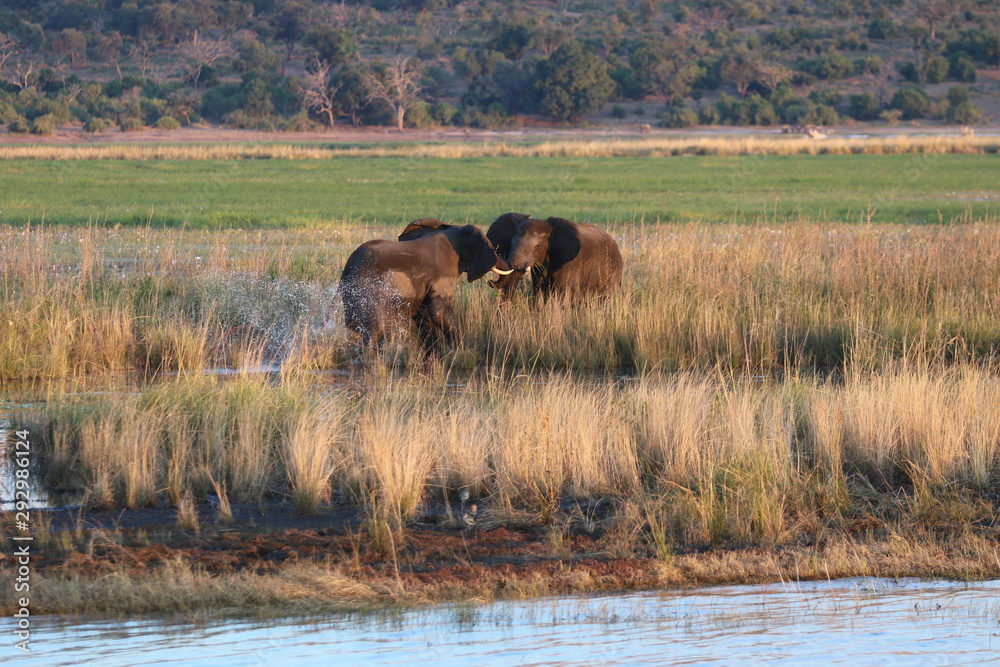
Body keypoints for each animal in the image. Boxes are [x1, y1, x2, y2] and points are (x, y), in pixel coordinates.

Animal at [342, 222, 516, 352]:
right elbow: (439, 310)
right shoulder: (444, 271)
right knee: (375, 327)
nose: (490, 282)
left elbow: (425, 314)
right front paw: (458, 351)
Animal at [486, 213, 624, 302]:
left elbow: (568, 295)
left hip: (613, 269)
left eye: (538, 246)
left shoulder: (570, 263)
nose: (490, 281)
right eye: (511, 243)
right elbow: (539, 295)